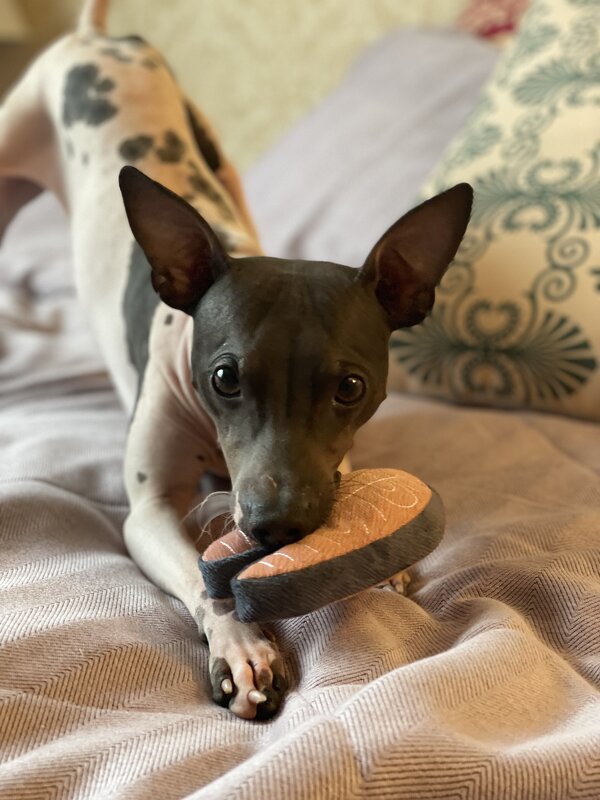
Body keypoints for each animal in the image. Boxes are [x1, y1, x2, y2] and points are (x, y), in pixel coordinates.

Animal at [0, 0, 472, 720]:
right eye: (224, 377)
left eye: (351, 387)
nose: (278, 527)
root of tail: (90, 37)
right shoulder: (149, 513)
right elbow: (203, 577)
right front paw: (242, 647)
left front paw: (385, 556)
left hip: (219, 157)